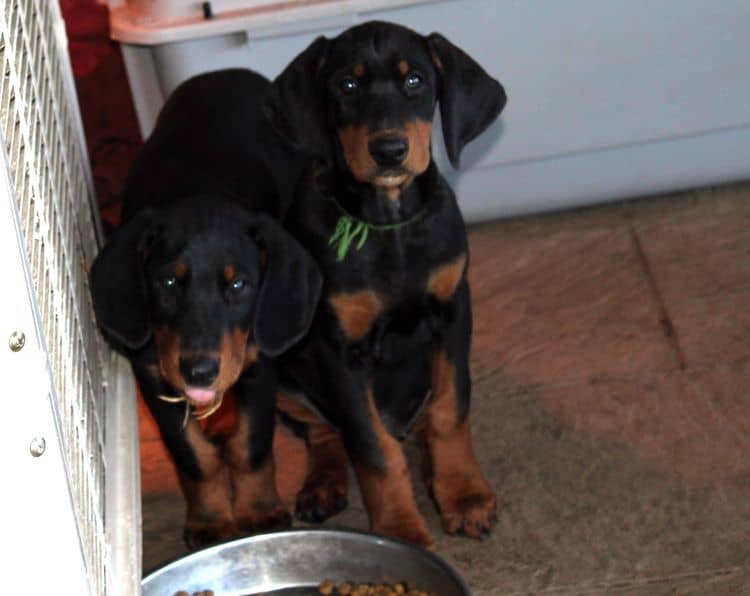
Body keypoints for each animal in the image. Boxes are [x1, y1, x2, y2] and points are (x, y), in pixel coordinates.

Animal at [89, 68, 322, 548]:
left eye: (238, 284)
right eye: (168, 282)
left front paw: (259, 510)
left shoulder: (259, 365)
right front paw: (211, 519)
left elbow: (250, 446)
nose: (199, 371)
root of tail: (228, 73)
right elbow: (195, 456)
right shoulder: (154, 374)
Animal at [266, 21, 512, 548]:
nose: (389, 151)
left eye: (415, 81)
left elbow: (450, 410)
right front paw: (400, 531)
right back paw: (323, 483)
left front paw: (464, 495)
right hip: (277, 365)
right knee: (325, 432)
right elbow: (373, 448)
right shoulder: (339, 349)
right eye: (347, 85)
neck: (388, 222)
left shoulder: (453, 311)